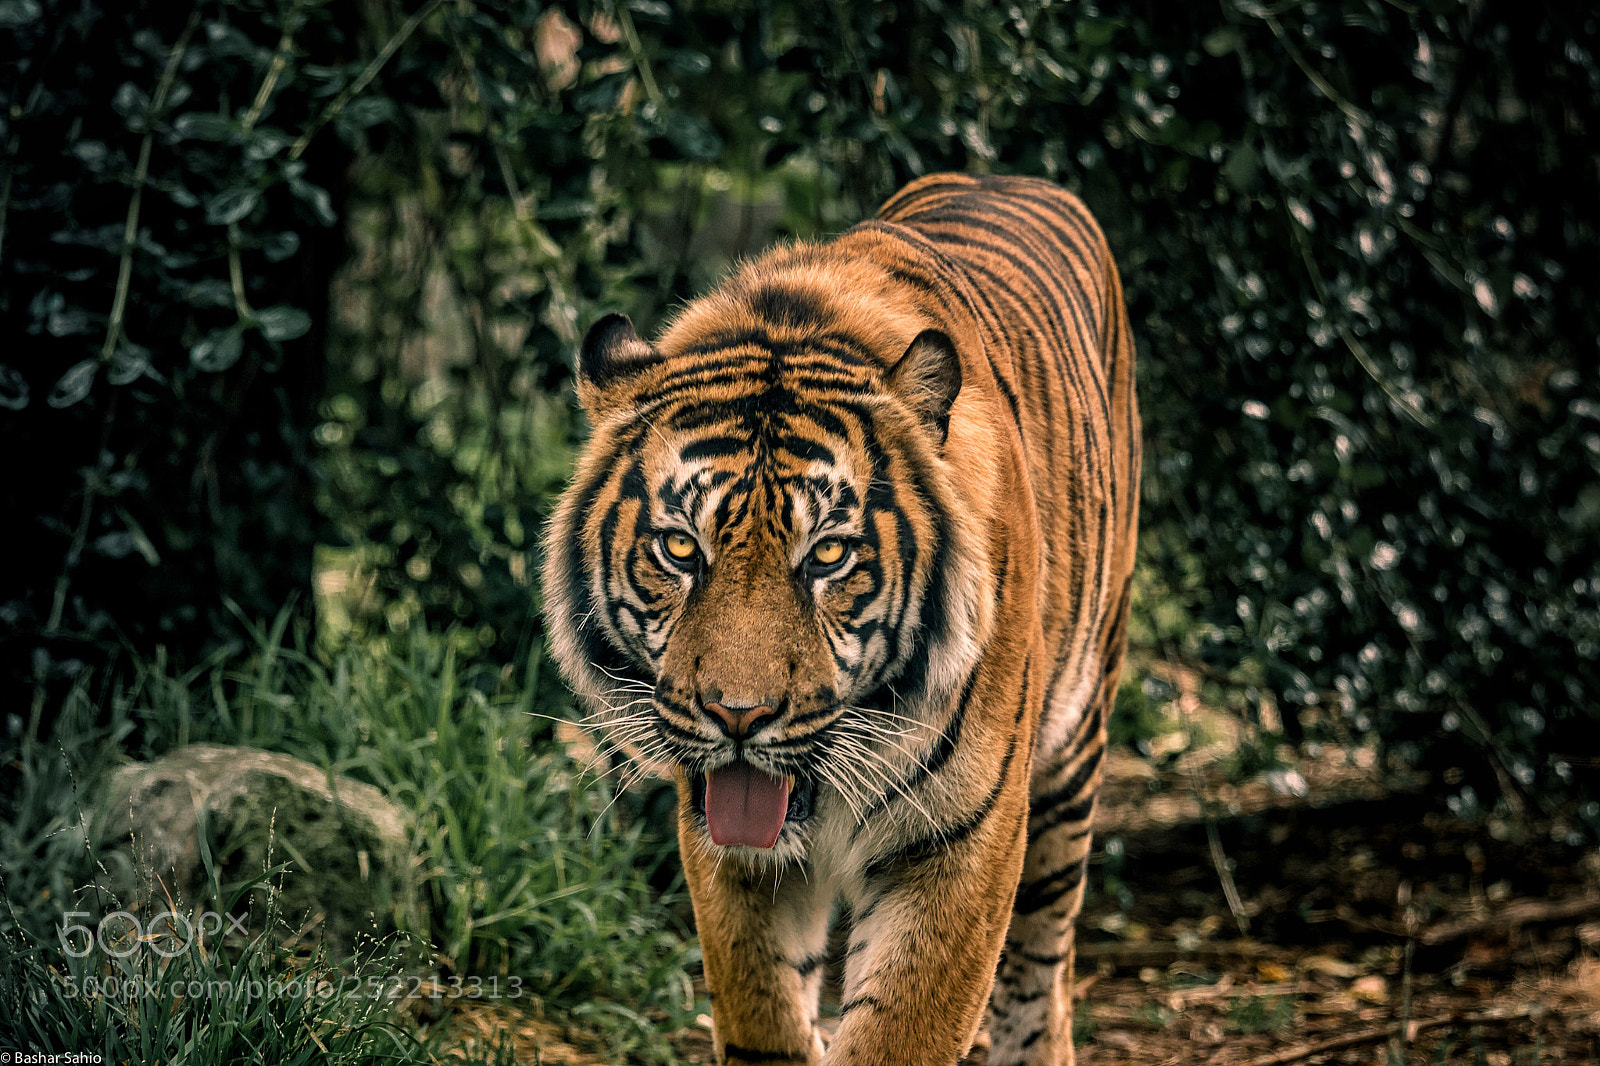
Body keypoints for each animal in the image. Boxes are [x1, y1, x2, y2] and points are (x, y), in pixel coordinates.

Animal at [542, 172, 1140, 1065]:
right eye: (681, 548)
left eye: (827, 555)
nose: (738, 717)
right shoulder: (728, 853)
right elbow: (765, 1016)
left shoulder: (964, 846)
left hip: (1075, 753)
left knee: (1043, 965)